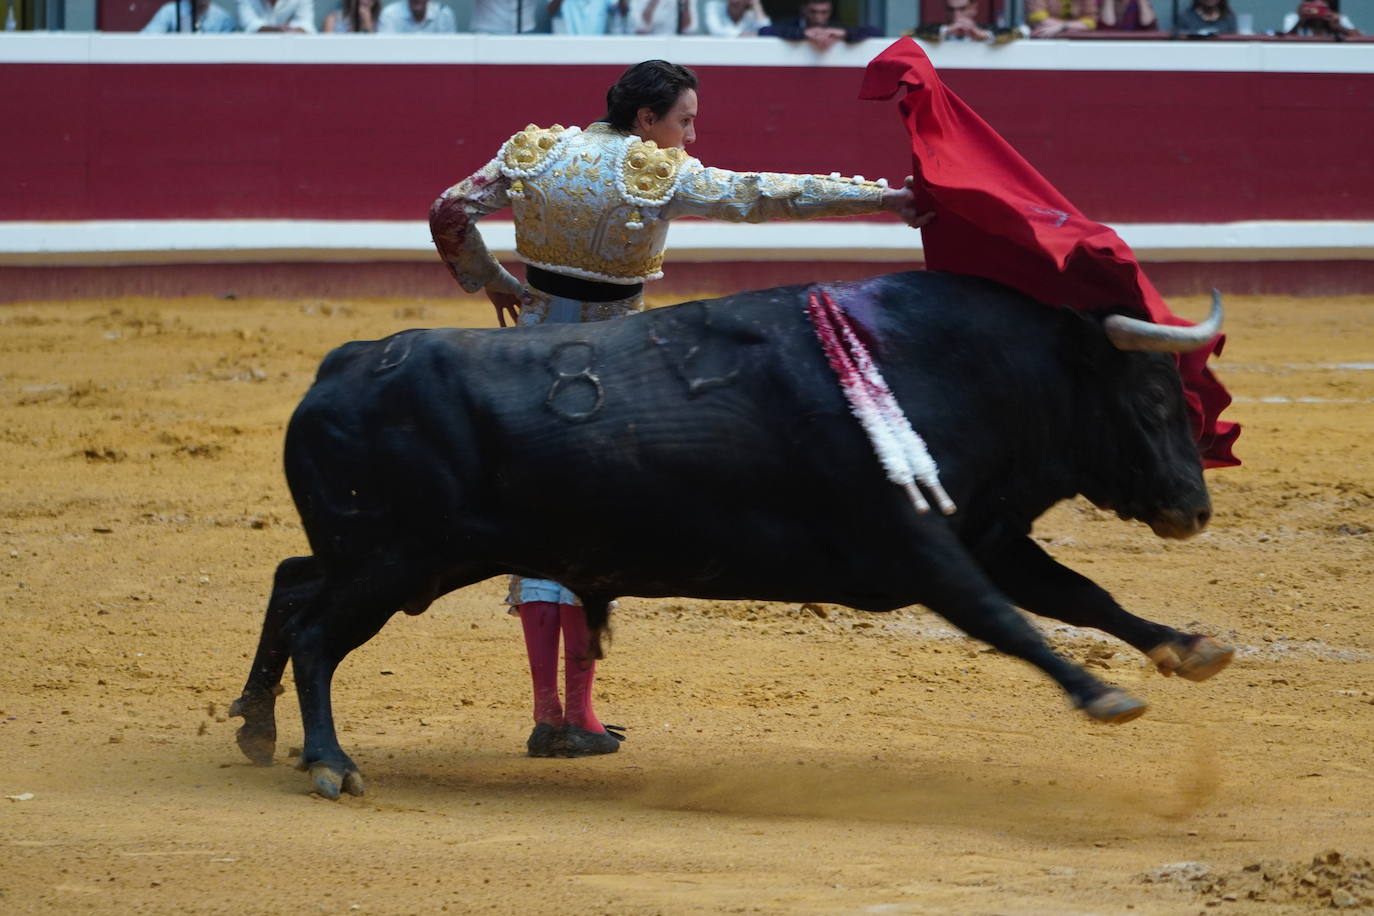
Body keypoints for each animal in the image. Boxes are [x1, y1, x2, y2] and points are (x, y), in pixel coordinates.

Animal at [225, 269, 1236, 796]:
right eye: (1152, 396)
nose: (1194, 510)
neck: (940, 365)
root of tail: (344, 361)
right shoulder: (920, 546)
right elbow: (1010, 620)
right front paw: (1103, 697)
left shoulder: (983, 532)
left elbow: (1080, 594)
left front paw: (1190, 647)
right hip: (393, 562)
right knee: (316, 631)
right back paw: (329, 763)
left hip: (397, 558)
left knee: (289, 579)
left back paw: (257, 727)